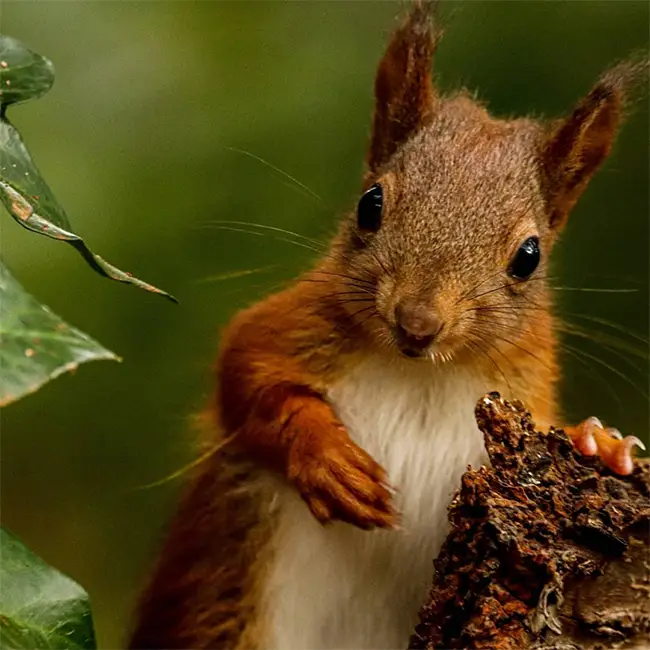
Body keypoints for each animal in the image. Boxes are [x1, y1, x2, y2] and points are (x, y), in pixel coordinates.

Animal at [128, 3, 647, 649]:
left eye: (529, 256)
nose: (417, 323)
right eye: (370, 204)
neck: (418, 375)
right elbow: (246, 379)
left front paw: (597, 441)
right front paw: (327, 456)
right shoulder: (280, 325)